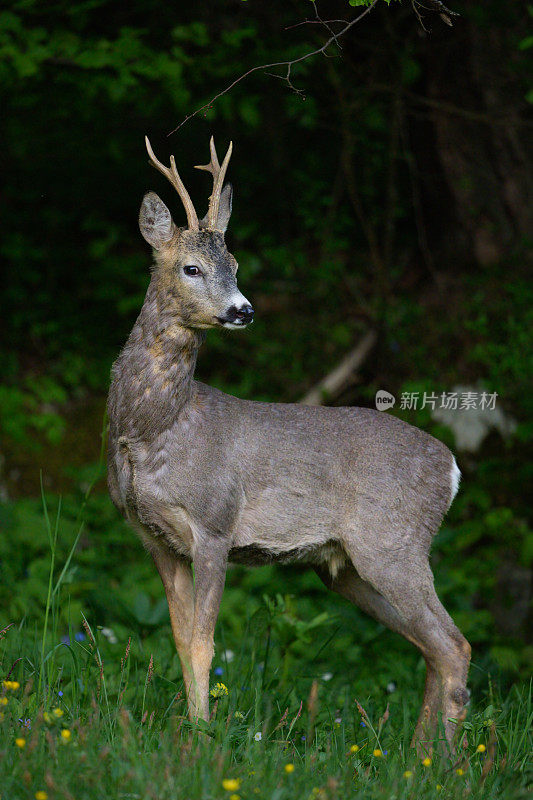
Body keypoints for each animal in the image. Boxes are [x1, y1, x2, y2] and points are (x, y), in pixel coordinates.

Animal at [107, 134, 470, 752]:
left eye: (235, 264)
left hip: (393, 544)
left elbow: (203, 641)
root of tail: (451, 468)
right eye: (191, 267)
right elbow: (179, 639)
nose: (243, 310)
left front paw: (201, 739)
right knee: (432, 649)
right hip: (348, 568)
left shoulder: (215, 522)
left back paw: (443, 761)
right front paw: (188, 729)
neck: (154, 427)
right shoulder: (153, 537)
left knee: (455, 644)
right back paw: (416, 756)